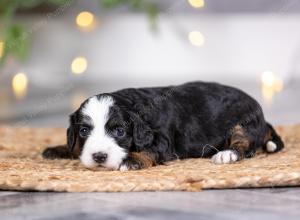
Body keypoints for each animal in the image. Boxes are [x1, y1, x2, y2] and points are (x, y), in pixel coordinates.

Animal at [42, 81, 284, 171]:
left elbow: (149, 150)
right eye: (84, 131)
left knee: (245, 145)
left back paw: (227, 154)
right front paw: (58, 149)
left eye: (119, 131)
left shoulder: (164, 141)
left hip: (242, 124)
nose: (99, 157)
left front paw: (131, 161)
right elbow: (73, 145)